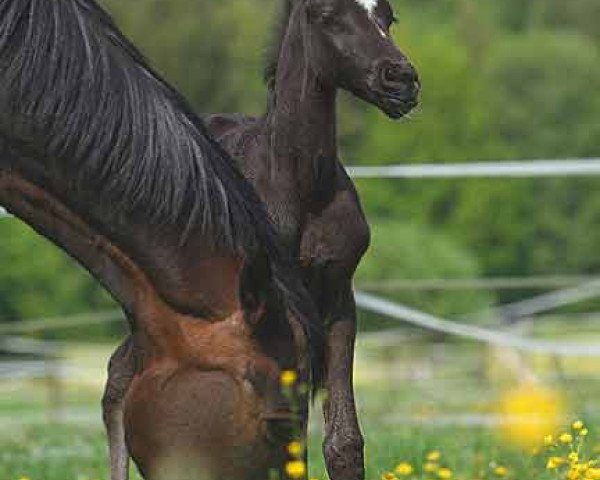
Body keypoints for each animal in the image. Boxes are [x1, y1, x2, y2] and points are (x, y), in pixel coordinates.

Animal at [104, 0, 418, 480]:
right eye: (327, 15)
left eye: (388, 17)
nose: (400, 79)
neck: (301, 184)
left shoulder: (337, 300)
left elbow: (342, 443)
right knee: (122, 375)